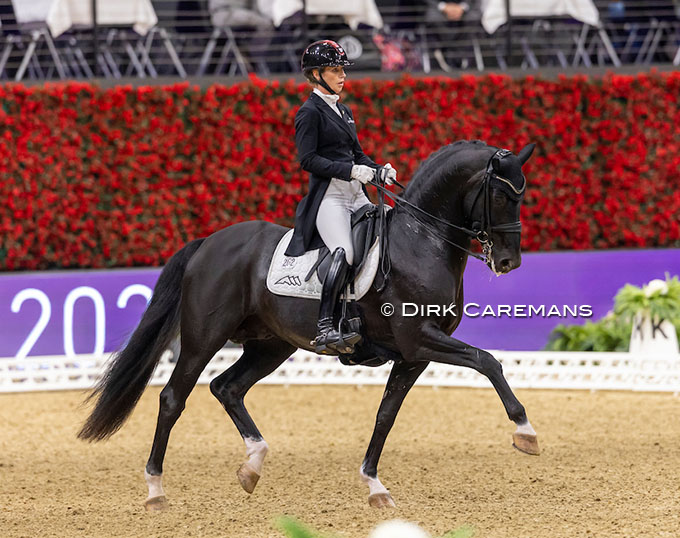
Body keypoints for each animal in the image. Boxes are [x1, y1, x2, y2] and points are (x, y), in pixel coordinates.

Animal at [78, 139, 539, 510]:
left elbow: (385, 415)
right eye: (501, 194)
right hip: (202, 339)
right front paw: (525, 431)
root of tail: (209, 242)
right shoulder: (420, 341)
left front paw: (375, 486)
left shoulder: (414, 355)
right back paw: (156, 491)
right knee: (174, 398)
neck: (421, 240)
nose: (508, 262)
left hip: (271, 345)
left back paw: (252, 466)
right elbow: (488, 361)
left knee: (227, 388)